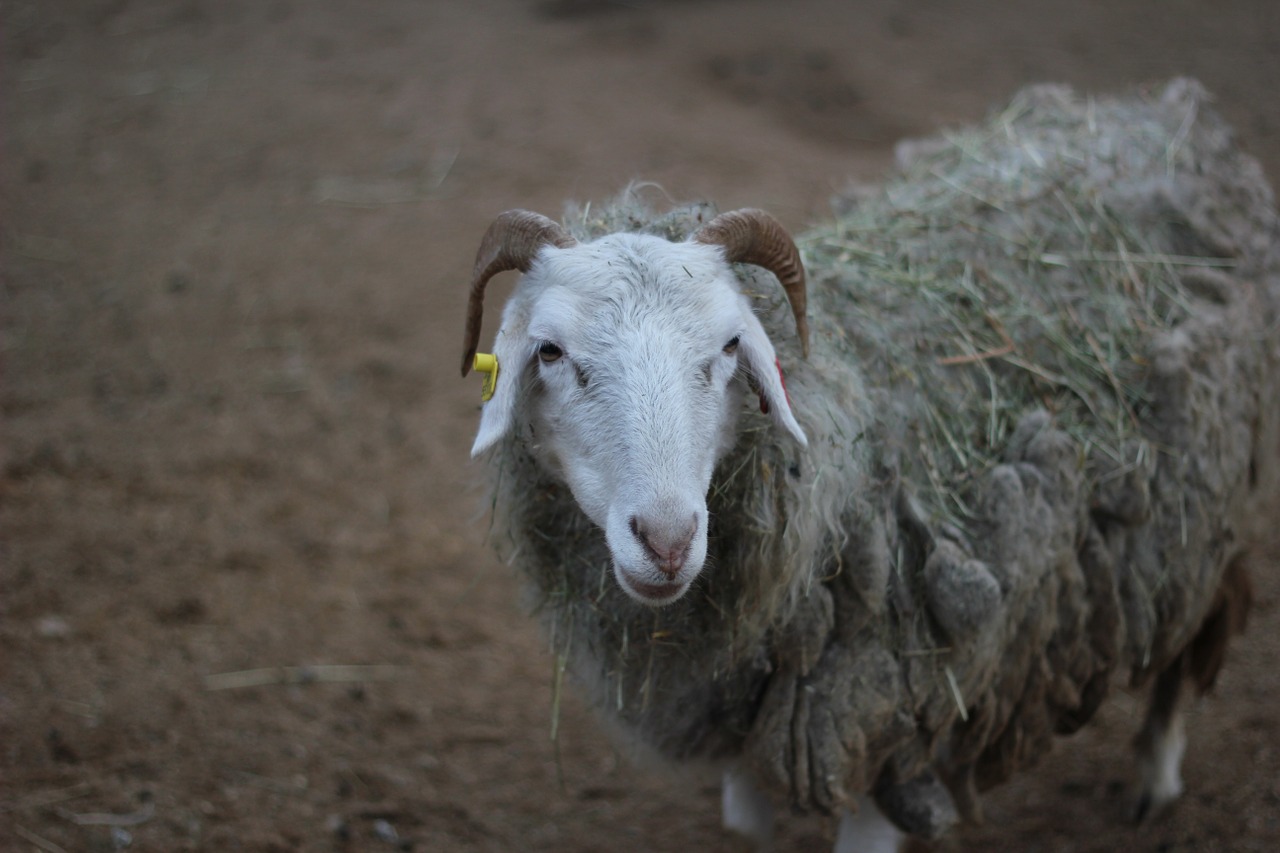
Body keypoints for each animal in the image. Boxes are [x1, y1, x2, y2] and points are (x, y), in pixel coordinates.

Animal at [455, 78, 1274, 845]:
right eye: (550, 352)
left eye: (729, 346)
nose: (667, 540)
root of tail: (1166, 110)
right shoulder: (744, 725)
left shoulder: (885, 726)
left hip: (1207, 510)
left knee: (1198, 631)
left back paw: (1156, 777)